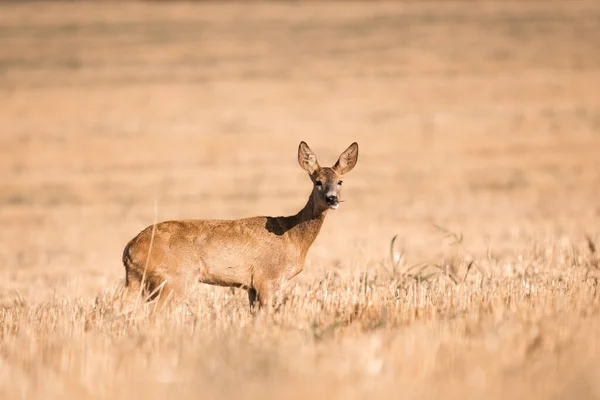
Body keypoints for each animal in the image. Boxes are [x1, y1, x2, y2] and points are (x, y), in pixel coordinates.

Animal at [119, 141, 358, 312]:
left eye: (340, 181)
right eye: (317, 181)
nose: (332, 199)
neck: (293, 237)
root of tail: (129, 249)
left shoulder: (250, 286)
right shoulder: (266, 277)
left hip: (137, 281)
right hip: (175, 279)